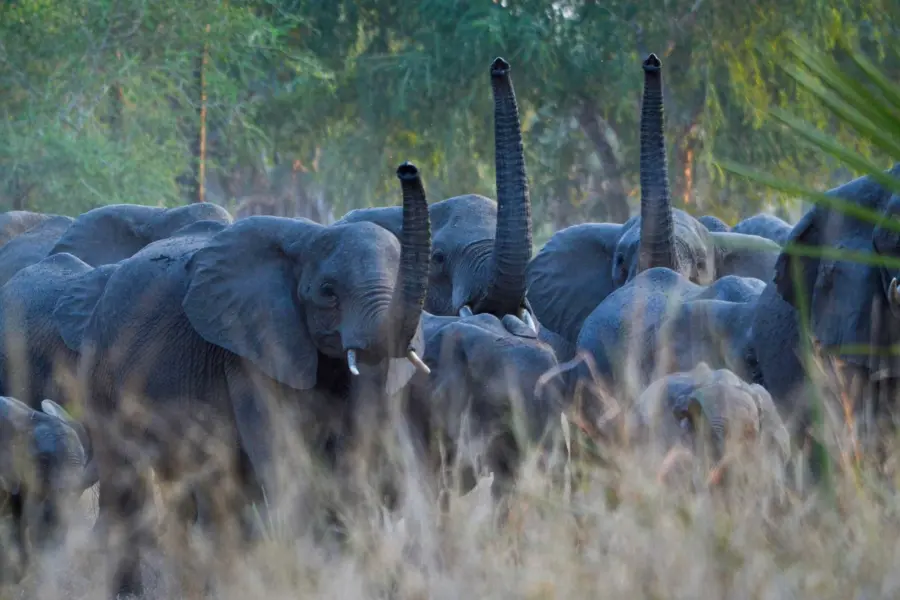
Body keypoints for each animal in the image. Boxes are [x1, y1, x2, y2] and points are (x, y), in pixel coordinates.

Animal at [52, 162, 432, 598]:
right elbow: (282, 459)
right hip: (101, 372)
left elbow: (355, 460)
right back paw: (128, 592)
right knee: (128, 480)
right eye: (328, 293)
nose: (407, 169)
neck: (306, 240)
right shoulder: (246, 353)